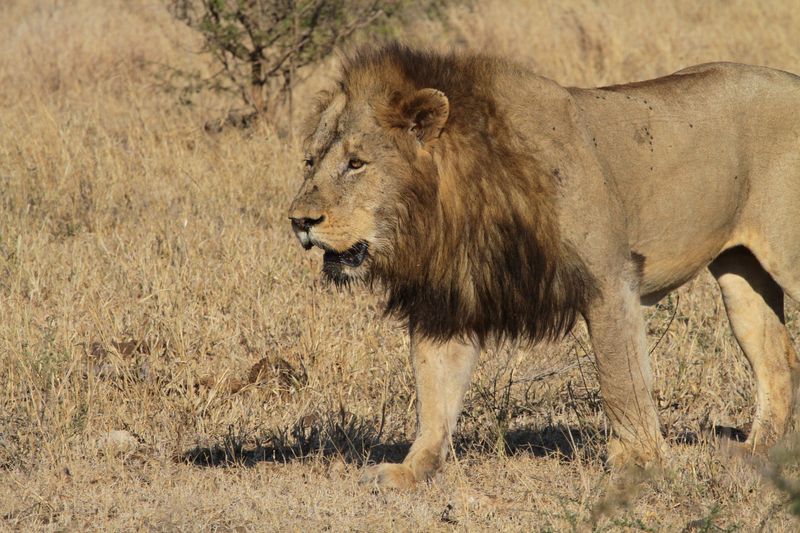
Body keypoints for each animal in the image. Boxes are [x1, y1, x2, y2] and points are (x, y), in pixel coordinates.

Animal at [288, 43, 800, 488]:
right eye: (310, 161)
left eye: (356, 163)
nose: (299, 221)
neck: (449, 204)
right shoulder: (447, 301)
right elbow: (434, 396)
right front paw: (412, 471)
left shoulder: (610, 280)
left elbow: (622, 381)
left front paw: (640, 465)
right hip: (740, 273)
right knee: (775, 358)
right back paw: (754, 454)